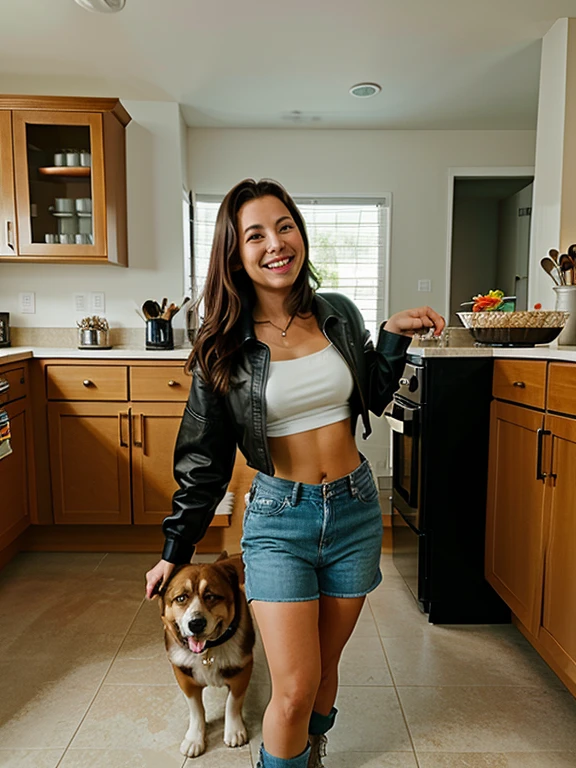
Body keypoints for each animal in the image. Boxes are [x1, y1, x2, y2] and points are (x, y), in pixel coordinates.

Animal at [159, 552, 255, 756]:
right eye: (181, 598)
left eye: (211, 596)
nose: (196, 623)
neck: (207, 651)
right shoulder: (184, 675)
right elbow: (196, 709)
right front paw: (194, 738)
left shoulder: (242, 670)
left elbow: (233, 703)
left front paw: (234, 731)